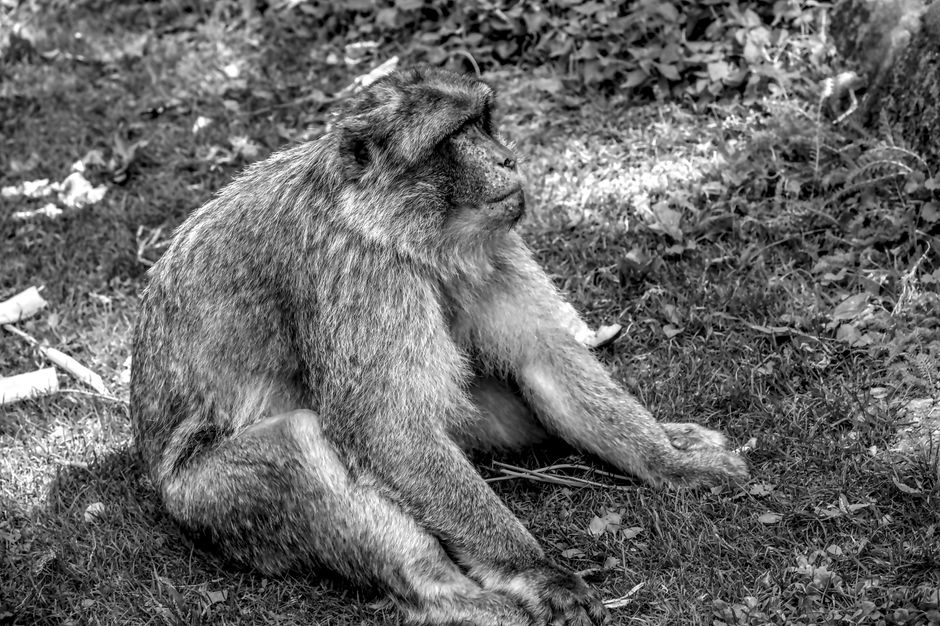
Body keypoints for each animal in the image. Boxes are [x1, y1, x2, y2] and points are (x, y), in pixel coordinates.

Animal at [130, 67, 748, 626]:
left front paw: (669, 461)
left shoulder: (490, 249)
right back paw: (443, 593)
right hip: (208, 505)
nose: (506, 159)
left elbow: (543, 357)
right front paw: (537, 571)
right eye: (454, 137)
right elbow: (387, 428)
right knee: (298, 440)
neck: (397, 230)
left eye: (482, 122)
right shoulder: (359, 272)